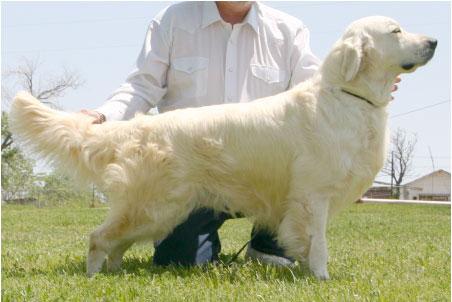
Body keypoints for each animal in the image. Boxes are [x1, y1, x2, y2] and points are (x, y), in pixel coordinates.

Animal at [9, 16, 434, 280]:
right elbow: (319, 245)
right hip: (154, 206)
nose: (433, 41)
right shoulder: (313, 195)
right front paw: (322, 278)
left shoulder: (301, 200)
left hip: (155, 209)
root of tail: (139, 126)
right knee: (99, 237)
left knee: (116, 242)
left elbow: (305, 240)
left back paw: (114, 273)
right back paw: (96, 277)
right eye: (396, 30)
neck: (346, 96)